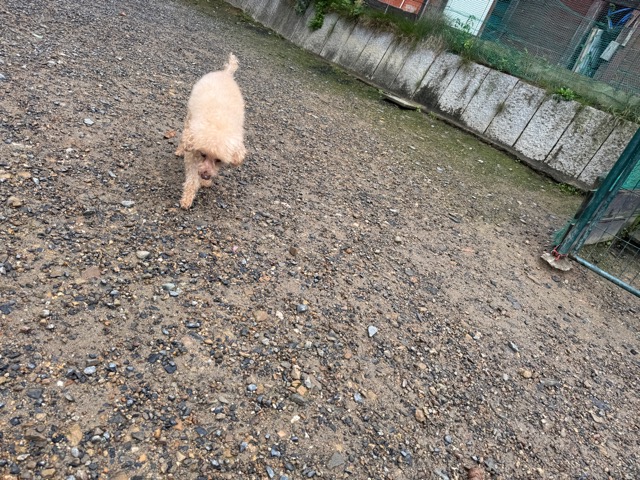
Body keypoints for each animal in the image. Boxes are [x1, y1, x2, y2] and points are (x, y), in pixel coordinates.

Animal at [175, 53, 246, 209]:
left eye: (218, 160)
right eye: (203, 154)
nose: (206, 175)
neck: (218, 125)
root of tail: (226, 73)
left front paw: (205, 182)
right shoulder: (193, 153)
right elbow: (192, 178)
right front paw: (187, 198)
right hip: (189, 116)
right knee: (184, 133)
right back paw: (180, 149)